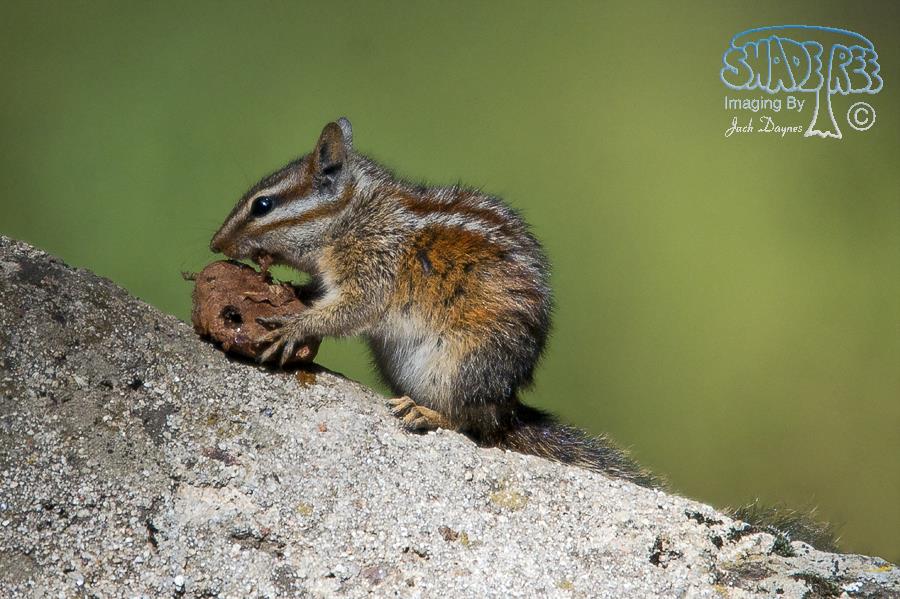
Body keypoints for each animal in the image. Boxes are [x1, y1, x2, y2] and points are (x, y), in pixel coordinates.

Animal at [209, 117, 656, 487]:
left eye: (263, 205)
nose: (215, 243)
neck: (356, 215)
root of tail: (506, 409)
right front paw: (286, 293)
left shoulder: (373, 267)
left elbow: (354, 309)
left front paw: (294, 326)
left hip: (460, 365)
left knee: (468, 425)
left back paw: (427, 414)